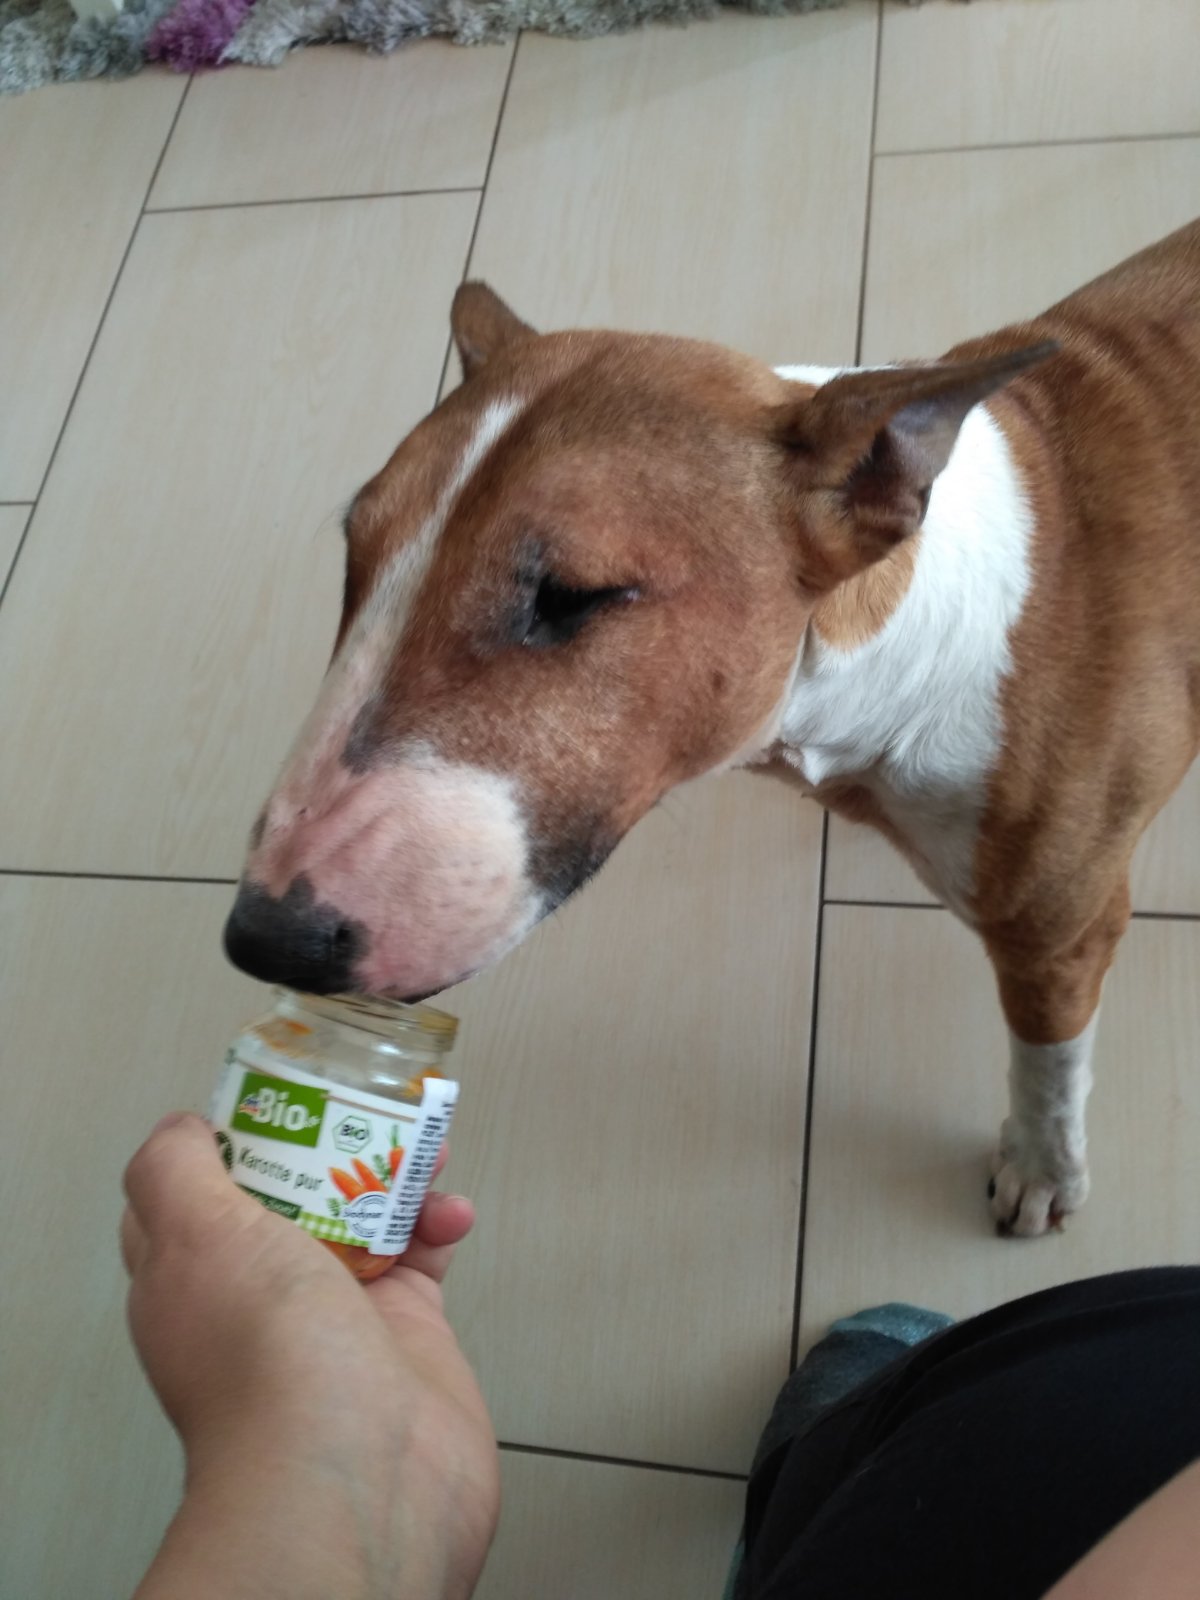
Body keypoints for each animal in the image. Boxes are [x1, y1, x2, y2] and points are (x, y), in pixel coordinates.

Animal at [223, 219, 1200, 1239]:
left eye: (575, 596)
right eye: (355, 552)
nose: (264, 941)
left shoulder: (1063, 926)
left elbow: (1049, 1061)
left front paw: (1042, 1171)